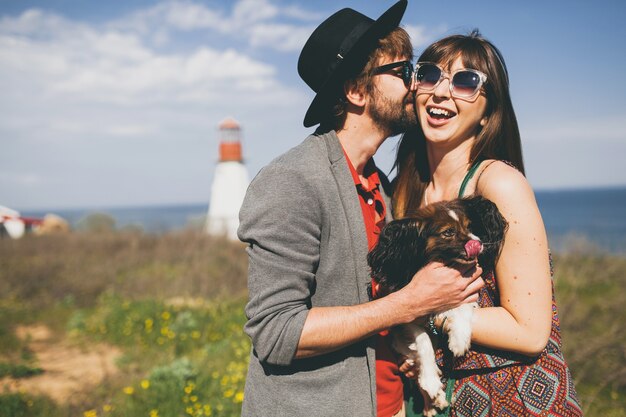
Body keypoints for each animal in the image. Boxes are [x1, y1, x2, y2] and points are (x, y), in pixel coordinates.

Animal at [366, 196, 508, 416]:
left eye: (469, 226)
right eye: (448, 232)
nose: (477, 243)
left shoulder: (467, 290)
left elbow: (462, 309)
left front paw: (459, 339)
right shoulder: (406, 319)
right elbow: (423, 341)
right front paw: (431, 381)